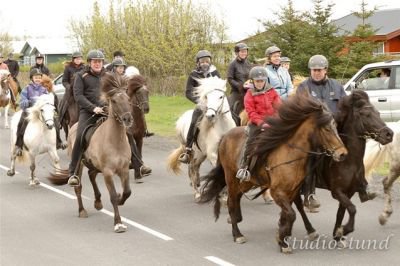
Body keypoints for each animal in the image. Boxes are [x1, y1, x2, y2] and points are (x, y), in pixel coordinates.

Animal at [47, 73, 134, 233]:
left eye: (128, 99)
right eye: (114, 100)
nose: (127, 119)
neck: (115, 141)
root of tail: (74, 126)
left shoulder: (124, 170)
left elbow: (127, 192)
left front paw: (120, 199)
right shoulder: (108, 172)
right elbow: (112, 196)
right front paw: (118, 223)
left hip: (93, 164)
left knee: (92, 174)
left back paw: (98, 202)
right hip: (79, 164)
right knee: (79, 187)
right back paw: (82, 210)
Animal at [200, 92, 346, 254]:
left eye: (335, 127)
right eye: (326, 129)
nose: (342, 154)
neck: (291, 153)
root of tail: (225, 136)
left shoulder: (292, 190)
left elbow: (293, 211)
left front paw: (286, 235)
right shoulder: (277, 191)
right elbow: (291, 214)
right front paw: (283, 241)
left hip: (247, 182)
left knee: (237, 197)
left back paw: (236, 219)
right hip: (231, 178)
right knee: (231, 201)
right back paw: (237, 234)